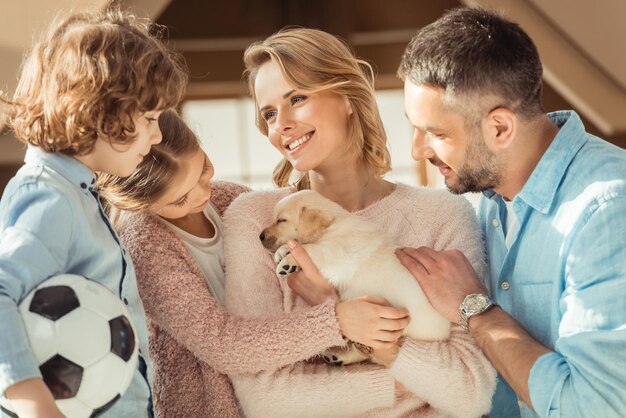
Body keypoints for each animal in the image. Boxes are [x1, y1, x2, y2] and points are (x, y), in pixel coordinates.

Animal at [260, 190, 448, 366]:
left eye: (281, 220)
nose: (260, 236)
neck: (333, 223)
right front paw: (282, 252)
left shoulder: (334, 254)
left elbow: (310, 249)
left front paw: (287, 262)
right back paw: (338, 357)